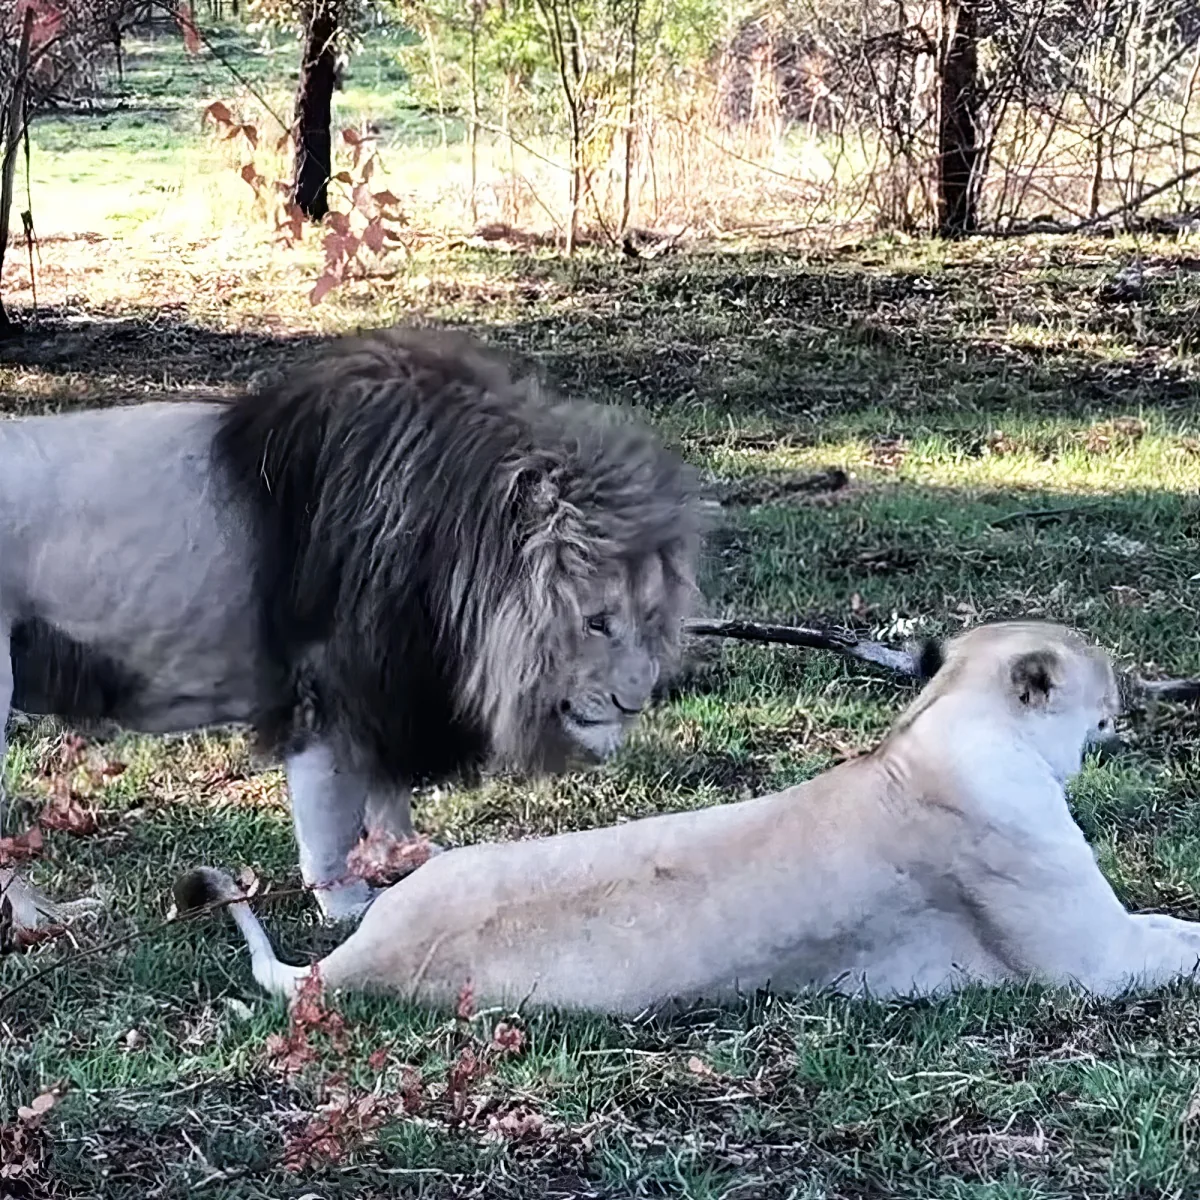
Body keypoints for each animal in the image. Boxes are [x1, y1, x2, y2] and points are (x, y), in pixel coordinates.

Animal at [0, 326, 705, 921]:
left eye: (651, 621)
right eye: (597, 622)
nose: (634, 703)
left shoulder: (393, 689)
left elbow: (387, 796)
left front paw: (411, 860)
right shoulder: (332, 689)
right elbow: (331, 823)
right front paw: (347, 905)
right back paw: (45, 919)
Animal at [178, 620, 1200, 1014]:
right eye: (1097, 663)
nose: (1132, 685)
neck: (939, 724)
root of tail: (355, 963)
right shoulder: (1091, 963)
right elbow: (1181, 941)